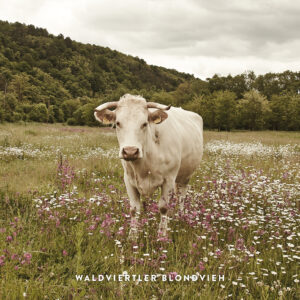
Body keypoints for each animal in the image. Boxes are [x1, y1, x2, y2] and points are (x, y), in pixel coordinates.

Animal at [94, 95, 204, 240]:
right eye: (117, 123)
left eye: (144, 123)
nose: (130, 151)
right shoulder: (128, 180)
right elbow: (134, 209)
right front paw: (132, 236)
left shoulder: (168, 179)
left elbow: (163, 207)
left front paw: (162, 235)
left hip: (186, 175)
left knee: (182, 196)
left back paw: (180, 215)